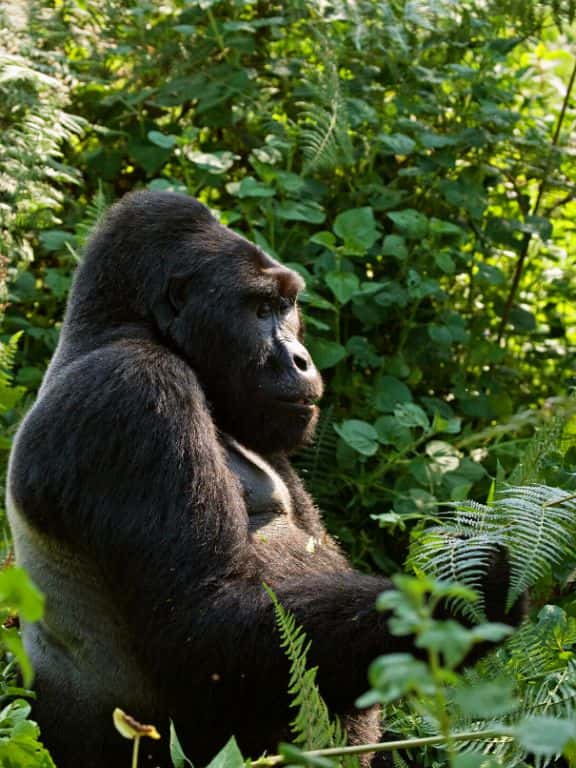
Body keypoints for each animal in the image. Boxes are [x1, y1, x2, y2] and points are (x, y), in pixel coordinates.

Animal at [6, 192, 520, 768]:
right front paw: (475, 588)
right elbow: (205, 625)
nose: (300, 359)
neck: (112, 327)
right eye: (258, 309)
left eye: (287, 306)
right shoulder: (133, 391)